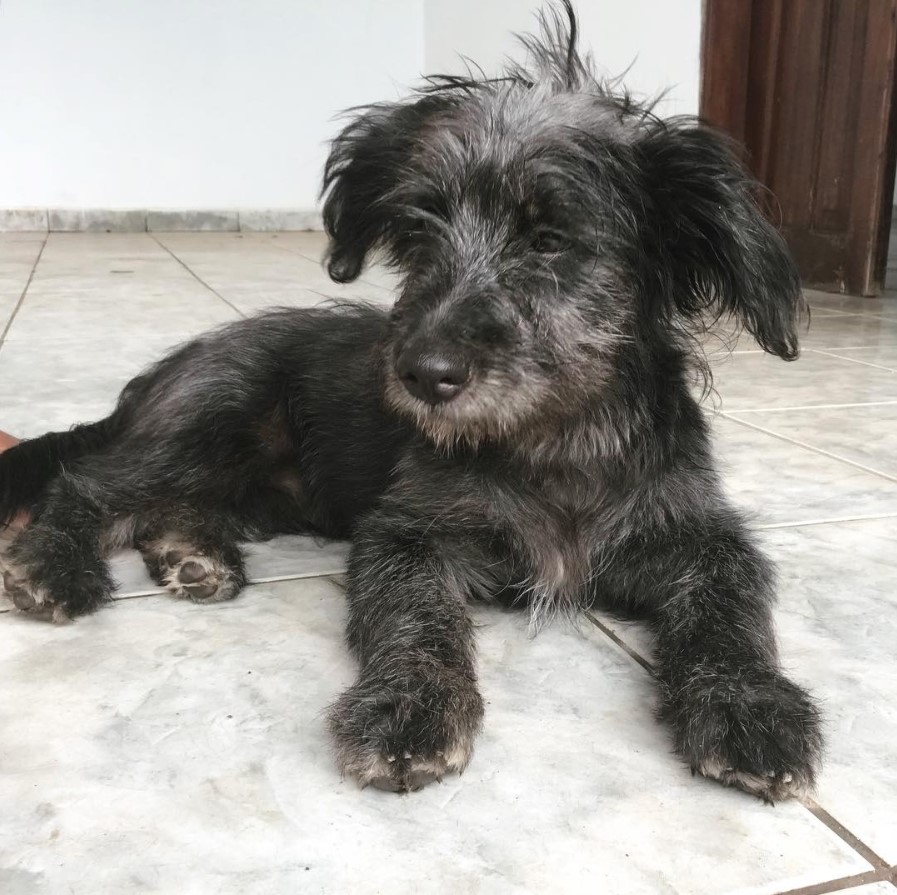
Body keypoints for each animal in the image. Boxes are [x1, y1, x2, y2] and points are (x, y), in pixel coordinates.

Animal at [0, 5, 820, 804]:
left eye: (550, 238)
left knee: (164, 506)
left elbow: (729, 609)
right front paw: (411, 704)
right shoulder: (406, 533)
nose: (421, 372)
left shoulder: (700, 533)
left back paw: (192, 554)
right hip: (217, 416)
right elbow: (415, 614)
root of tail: (164, 371)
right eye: (419, 227)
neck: (552, 439)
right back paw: (54, 565)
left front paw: (749, 704)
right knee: (89, 484)